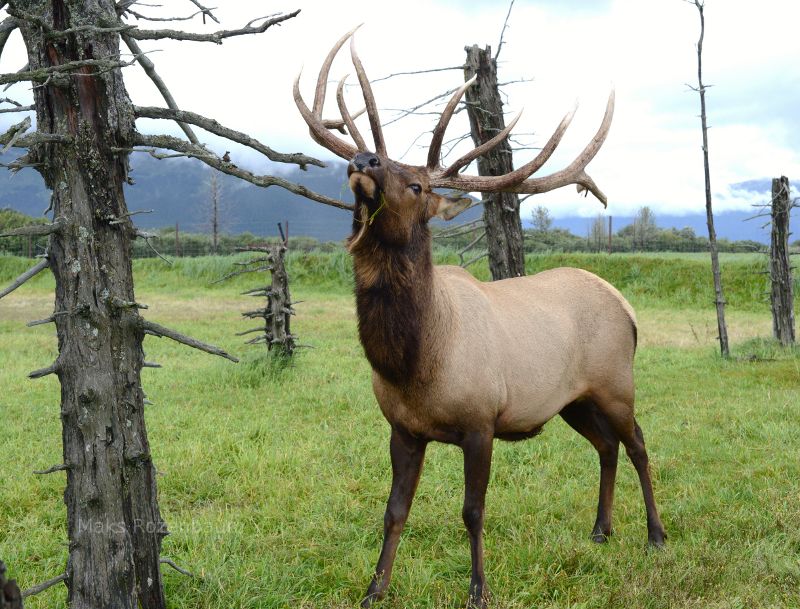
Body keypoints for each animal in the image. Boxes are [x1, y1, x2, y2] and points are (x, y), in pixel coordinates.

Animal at [294, 28, 668, 608]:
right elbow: (393, 511)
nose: (366, 159)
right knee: (606, 446)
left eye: (419, 186)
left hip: (616, 384)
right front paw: (375, 589)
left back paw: (655, 535)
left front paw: (478, 589)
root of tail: (627, 308)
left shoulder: (480, 421)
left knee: (639, 445)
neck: (414, 363)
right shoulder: (402, 429)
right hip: (573, 399)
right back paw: (600, 530)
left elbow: (472, 512)